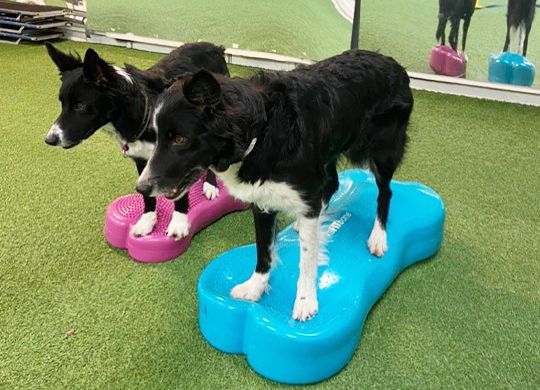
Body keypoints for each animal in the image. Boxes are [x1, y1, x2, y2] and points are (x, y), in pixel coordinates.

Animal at [43, 42, 227, 238]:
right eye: (62, 103)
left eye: (80, 106)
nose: (50, 139)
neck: (143, 111)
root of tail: (213, 46)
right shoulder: (142, 159)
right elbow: (146, 195)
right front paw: (147, 221)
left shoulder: (177, 156)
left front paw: (179, 223)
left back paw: (210, 185)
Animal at [136, 50, 414, 322]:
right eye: (155, 136)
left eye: (180, 140)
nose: (141, 188)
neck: (261, 132)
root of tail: (393, 63)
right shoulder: (262, 200)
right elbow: (264, 250)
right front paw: (255, 287)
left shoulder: (303, 189)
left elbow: (306, 258)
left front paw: (305, 300)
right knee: (332, 185)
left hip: (383, 151)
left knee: (385, 192)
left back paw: (378, 237)